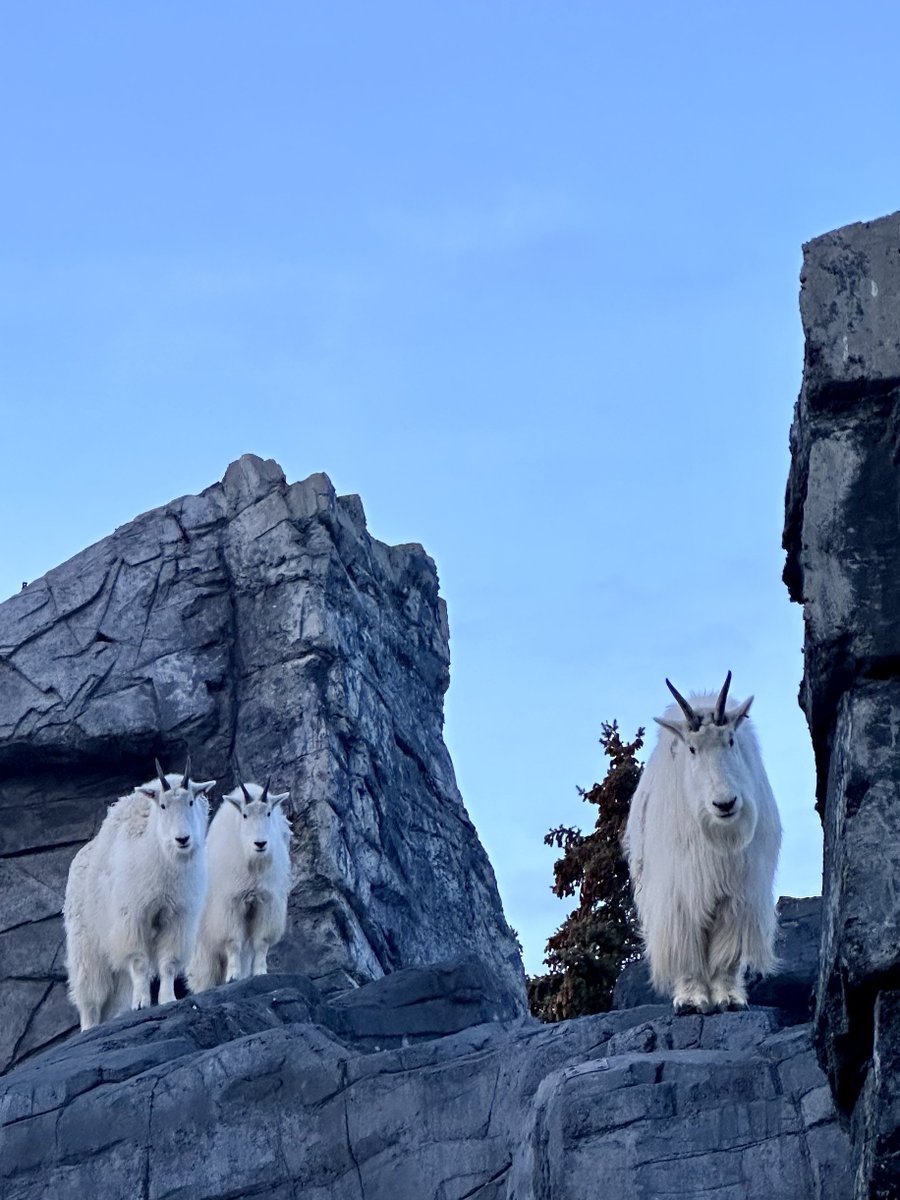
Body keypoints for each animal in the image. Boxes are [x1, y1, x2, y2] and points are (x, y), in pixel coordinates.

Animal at [64, 758, 216, 1032]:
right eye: (163, 805)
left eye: (190, 801)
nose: (182, 839)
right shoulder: (132, 917)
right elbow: (139, 962)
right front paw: (142, 1003)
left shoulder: (178, 917)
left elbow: (168, 962)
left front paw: (167, 998)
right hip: (85, 940)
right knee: (89, 988)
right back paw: (90, 1026)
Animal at [187, 777, 292, 993]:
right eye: (245, 815)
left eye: (268, 813)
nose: (260, 844)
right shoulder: (230, 903)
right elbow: (233, 941)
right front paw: (233, 976)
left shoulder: (265, 903)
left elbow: (261, 941)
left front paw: (260, 972)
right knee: (206, 967)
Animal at [628, 676, 782, 1012]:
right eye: (692, 748)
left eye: (731, 741)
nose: (725, 803)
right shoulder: (679, 894)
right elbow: (685, 944)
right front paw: (691, 1000)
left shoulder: (739, 894)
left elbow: (728, 951)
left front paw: (728, 997)